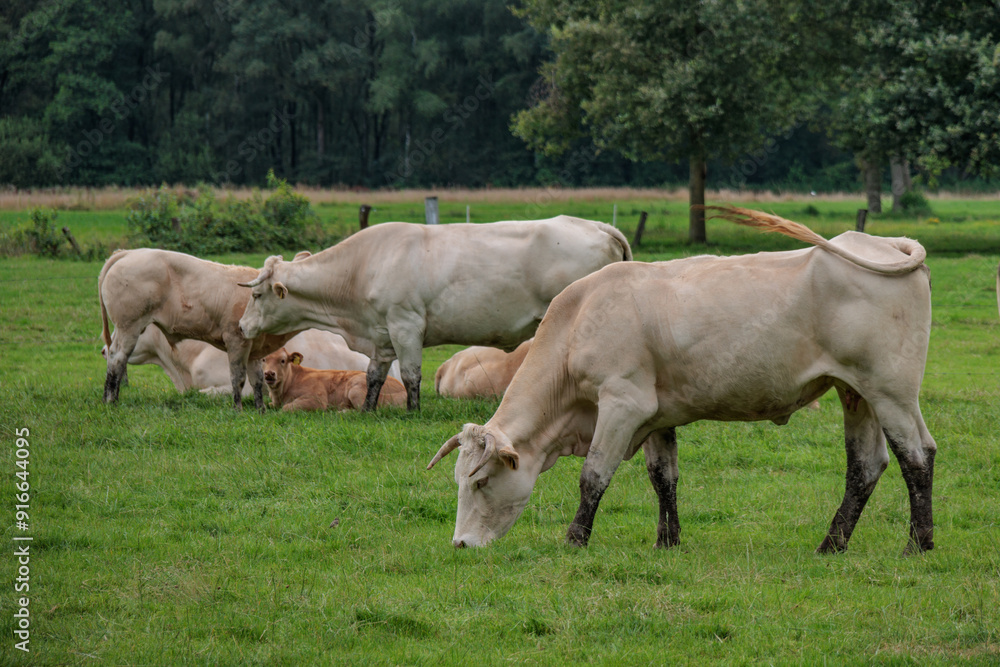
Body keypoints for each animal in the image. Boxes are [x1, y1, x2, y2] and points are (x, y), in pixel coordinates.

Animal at [99, 248, 299, 410]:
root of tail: (130, 253)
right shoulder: (236, 340)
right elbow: (238, 378)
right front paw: (238, 410)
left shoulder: (254, 347)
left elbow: (257, 380)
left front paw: (260, 410)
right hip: (129, 325)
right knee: (117, 357)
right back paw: (111, 401)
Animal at [261, 348, 407, 411]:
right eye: (263, 359)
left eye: (283, 360)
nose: (269, 374)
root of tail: (402, 388)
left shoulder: (317, 399)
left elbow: (285, 408)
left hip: (356, 390)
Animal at [428, 208, 936, 556]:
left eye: (479, 482)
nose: (460, 544)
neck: (578, 322)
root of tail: (885, 243)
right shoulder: (656, 415)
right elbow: (663, 478)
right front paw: (666, 541)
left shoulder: (621, 403)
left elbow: (593, 475)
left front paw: (574, 540)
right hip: (857, 393)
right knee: (865, 466)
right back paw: (832, 544)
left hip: (892, 393)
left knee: (917, 456)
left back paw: (917, 545)